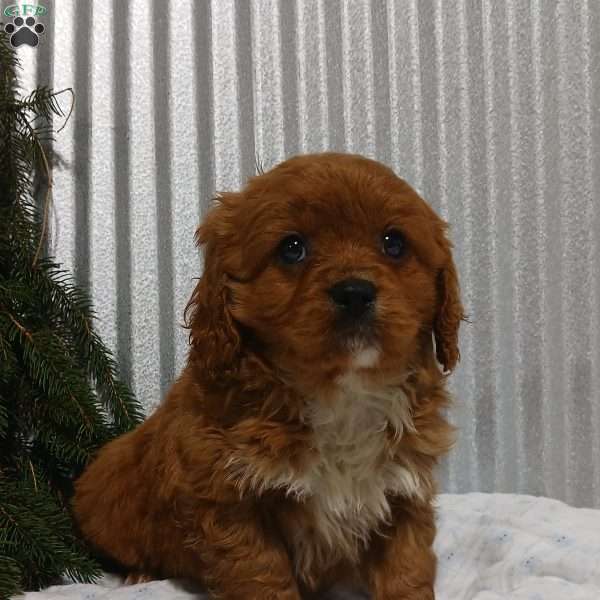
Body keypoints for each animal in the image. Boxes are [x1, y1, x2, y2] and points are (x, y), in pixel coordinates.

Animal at [71, 152, 464, 596]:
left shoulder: (402, 490)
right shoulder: (229, 500)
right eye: (292, 248)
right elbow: (261, 575)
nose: (354, 292)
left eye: (393, 243)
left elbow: (407, 570)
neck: (341, 393)